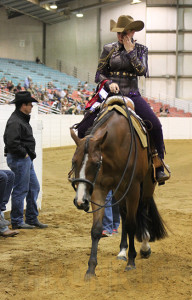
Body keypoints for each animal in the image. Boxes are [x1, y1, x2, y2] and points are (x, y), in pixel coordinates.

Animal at [69, 100, 166, 278]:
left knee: (142, 211)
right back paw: (122, 251)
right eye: (74, 161)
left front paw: (132, 261)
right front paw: (91, 269)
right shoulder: (98, 189)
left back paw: (144, 246)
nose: (80, 201)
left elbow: (132, 224)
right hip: (119, 190)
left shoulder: (133, 188)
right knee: (124, 214)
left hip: (146, 186)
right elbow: (96, 229)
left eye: (96, 163)